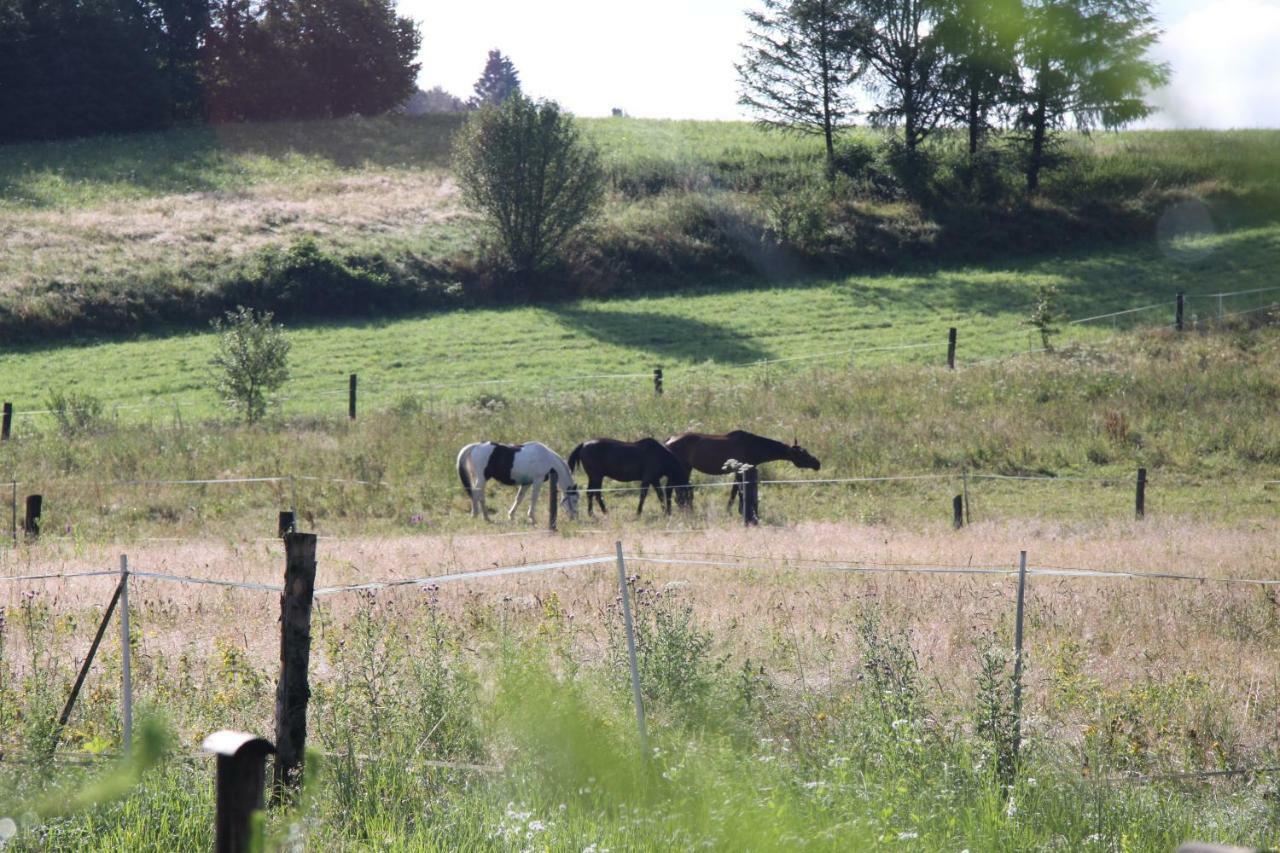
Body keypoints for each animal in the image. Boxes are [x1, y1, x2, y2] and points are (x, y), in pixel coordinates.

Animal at [665, 427, 824, 507]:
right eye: (803, 454)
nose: (817, 463)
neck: (754, 446)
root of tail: (669, 440)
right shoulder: (740, 471)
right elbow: (736, 493)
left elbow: (737, 492)